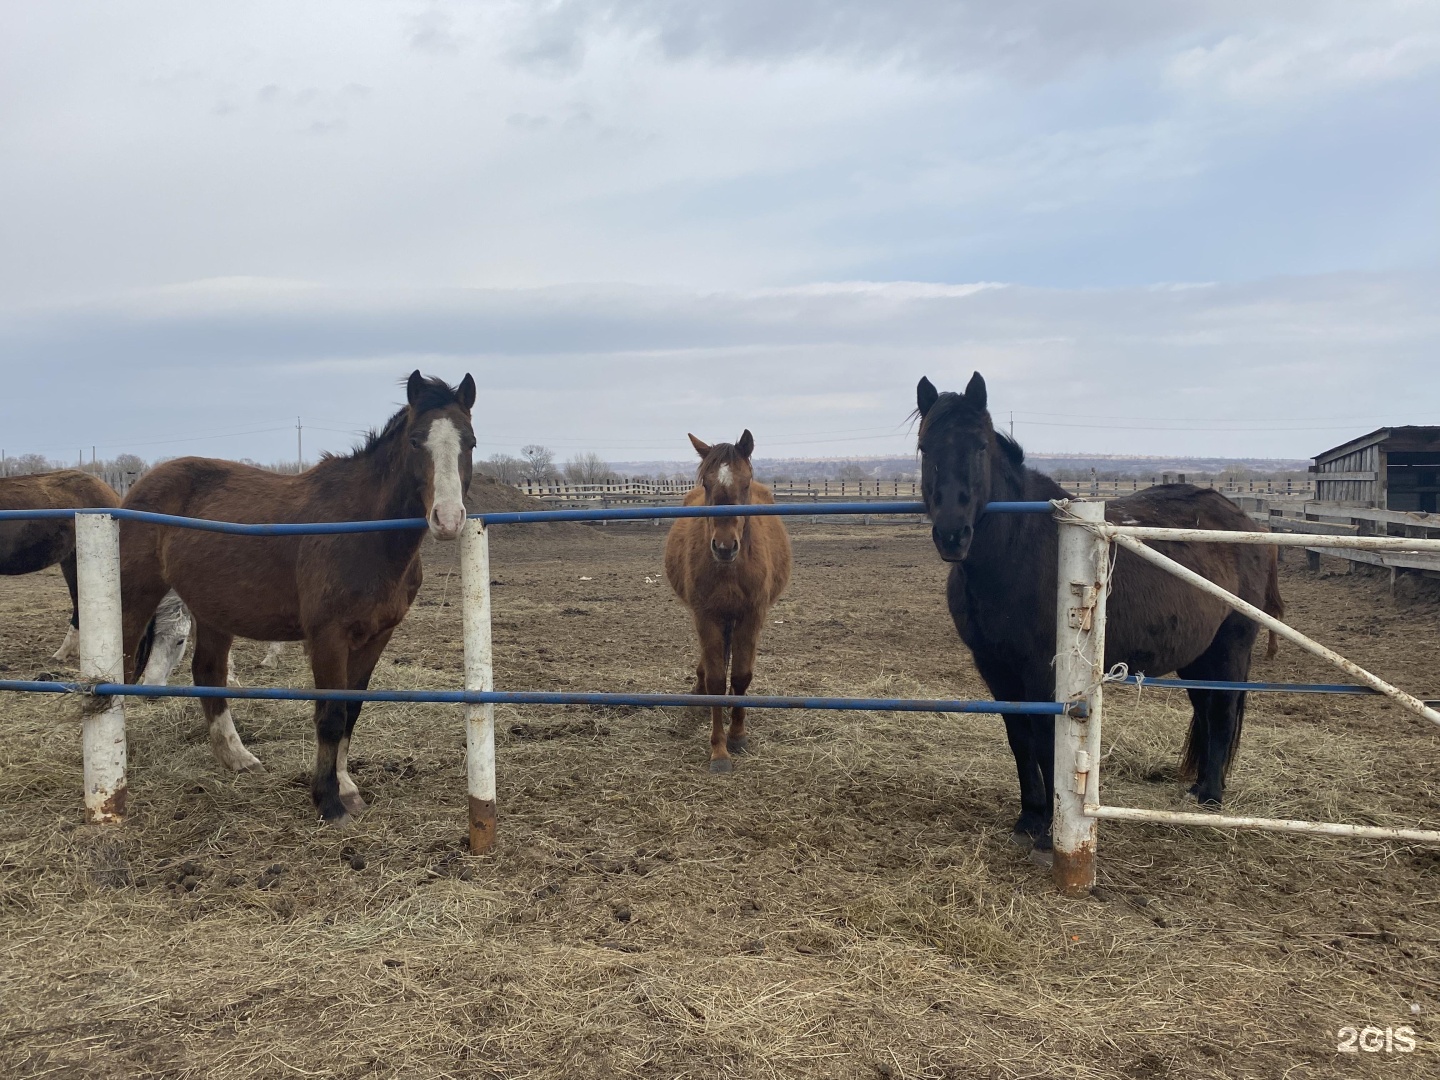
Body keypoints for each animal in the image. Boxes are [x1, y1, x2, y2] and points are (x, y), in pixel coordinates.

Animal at [119, 371, 478, 817]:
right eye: (415, 441)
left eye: (470, 442)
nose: (448, 519)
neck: (363, 530)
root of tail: (140, 485)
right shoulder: (327, 636)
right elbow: (330, 715)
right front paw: (328, 801)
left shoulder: (376, 636)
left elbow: (351, 709)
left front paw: (345, 788)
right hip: (134, 596)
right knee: (120, 665)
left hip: (213, 609)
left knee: (208, 672)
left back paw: (237, 758)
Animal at [659, 426, 789, 771]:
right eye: (706, 483)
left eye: (745, 483)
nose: (724, 547)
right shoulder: (706, 616)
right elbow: (718, 681)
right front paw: (719, 750)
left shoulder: (751, 616)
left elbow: (741, 677)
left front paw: (738, 736)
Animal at [915, 374, 1278, 852]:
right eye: (925, 448)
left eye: (978, 446)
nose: (953, 534)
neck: (1019, 549)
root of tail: (1246, 522)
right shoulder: (994, 667)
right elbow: (1019, 738)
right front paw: (1029, 818)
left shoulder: (1044, 668)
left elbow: (1046, 739)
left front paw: (1050, 832)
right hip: (1198, 656)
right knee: (1205, 710)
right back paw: (1198, 787)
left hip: (1231, 646)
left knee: (1221, 714)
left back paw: (1212, 797)